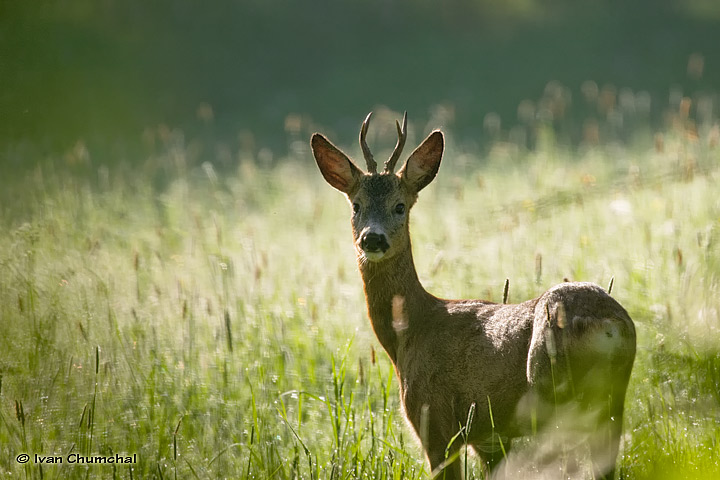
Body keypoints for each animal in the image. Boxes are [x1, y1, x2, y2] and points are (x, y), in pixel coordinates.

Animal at [310, 113, 636, 480]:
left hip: (552, 392)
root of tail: (606, 324)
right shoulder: (490, 438)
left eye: (399, 206)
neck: (410, 332)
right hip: (613, 401)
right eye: (356, 205)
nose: (372, 239)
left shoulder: (435, 420)